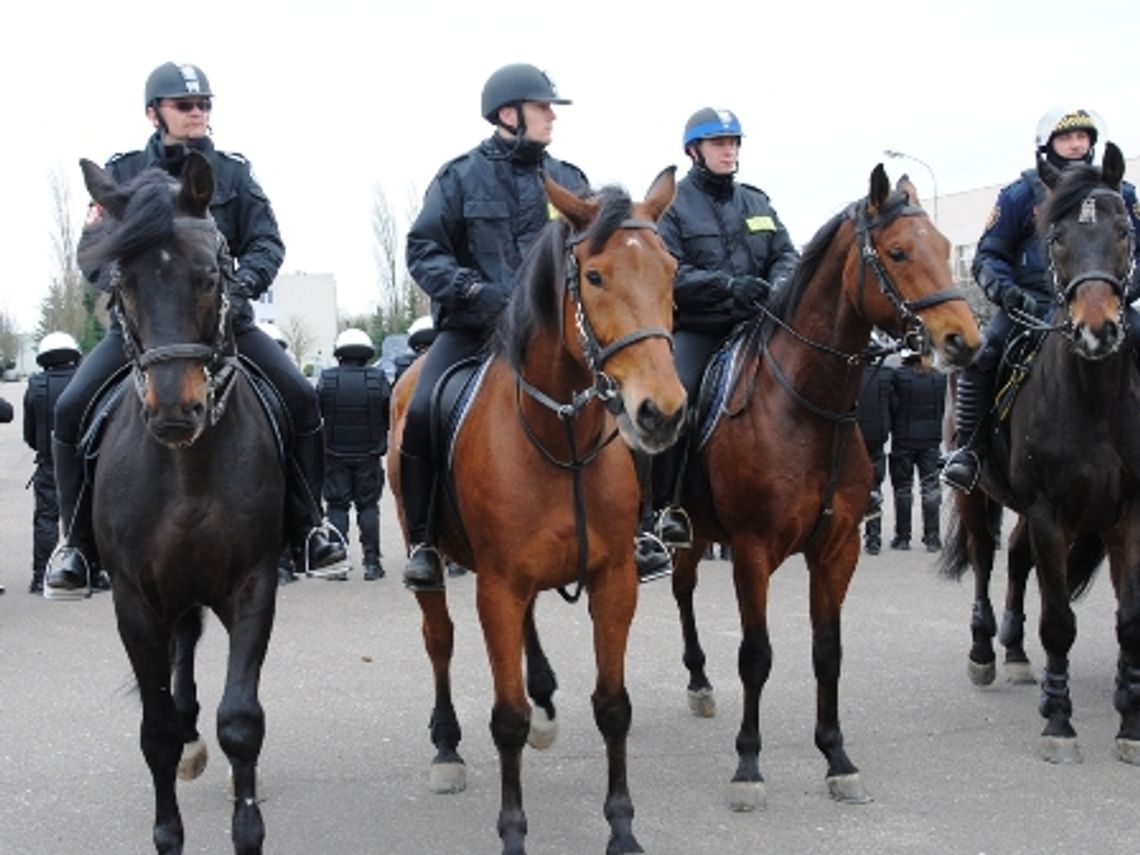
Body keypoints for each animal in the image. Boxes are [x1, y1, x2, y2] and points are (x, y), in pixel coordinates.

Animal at [78, 156, 285, 855]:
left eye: (209, 276)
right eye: (123, 282)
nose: (175, 409)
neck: (186, 468)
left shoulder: (252, 585)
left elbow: (241, 721)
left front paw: (247, 830)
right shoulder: (134, 601)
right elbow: (157, 732)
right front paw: (168, 834)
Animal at [389, 168, 684, 855]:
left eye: (671, 270)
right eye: (595, 276)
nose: (661, 410)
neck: (561, 438)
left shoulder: (613, 580)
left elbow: (613, 705)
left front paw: (622, 829)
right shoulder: (496, 586)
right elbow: (507, 719)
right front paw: (514, 833)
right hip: (438, 567)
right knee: (439, 641)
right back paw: (447, 749)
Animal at [665, 165, 980, 811]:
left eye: (946, 248)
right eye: (898, 252)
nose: (964, 340)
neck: (806, 408)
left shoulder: (838, 548)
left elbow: (828, 652)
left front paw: (837, 758)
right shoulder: (751, 551)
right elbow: (756, 655)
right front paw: (748, 767)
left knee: (684, 591)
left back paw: (699, 681)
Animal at [934, 144, 1140, 766]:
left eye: (1124, 230)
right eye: (1056, 237)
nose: (1097, 330)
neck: (1093, 398)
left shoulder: (1126, 513)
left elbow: (1128, 619)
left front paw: (1129, 725)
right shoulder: (1052, 511)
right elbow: (1060, 623)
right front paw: (1060, 722)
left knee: (1019, 559)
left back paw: (1018, 653)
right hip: (979, 495)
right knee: (985, 560)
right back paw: (985, 652)